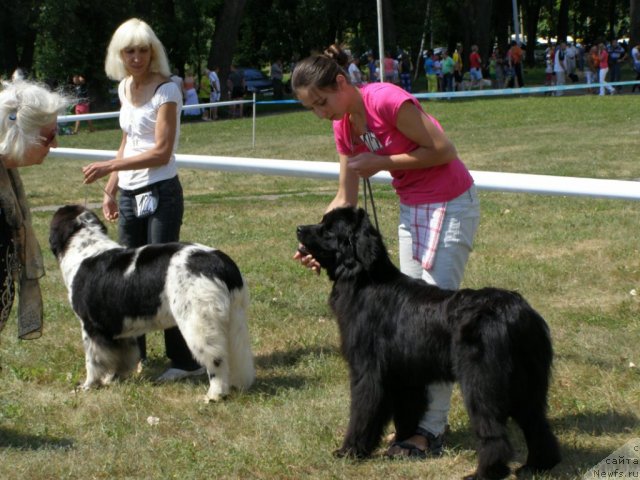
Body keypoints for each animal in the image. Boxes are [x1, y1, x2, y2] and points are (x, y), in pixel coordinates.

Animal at [50, 203, 255, 402]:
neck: (83, 249)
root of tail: (222, 263)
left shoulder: (90, 326)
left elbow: (93, 359)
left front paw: (88, 386)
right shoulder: (118, 327)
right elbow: (121, 355)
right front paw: (113, 378)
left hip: (198, 321)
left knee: (216, 359)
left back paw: (214, 395)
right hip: (234, 318)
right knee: (240, 354)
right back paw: (240, 385)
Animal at [296, 207, 560, 480]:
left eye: (328, 229)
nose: (299, 229)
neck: (363, 280)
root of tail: (516, 311)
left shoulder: (368, 372)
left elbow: (363, 413)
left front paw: (350, 451)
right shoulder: (405, 374)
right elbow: (407, 410)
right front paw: (402, 443)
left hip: (482, 383)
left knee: (494, 432)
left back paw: (485, 473)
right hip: (526, 382)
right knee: (537, 422)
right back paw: (539, 464)